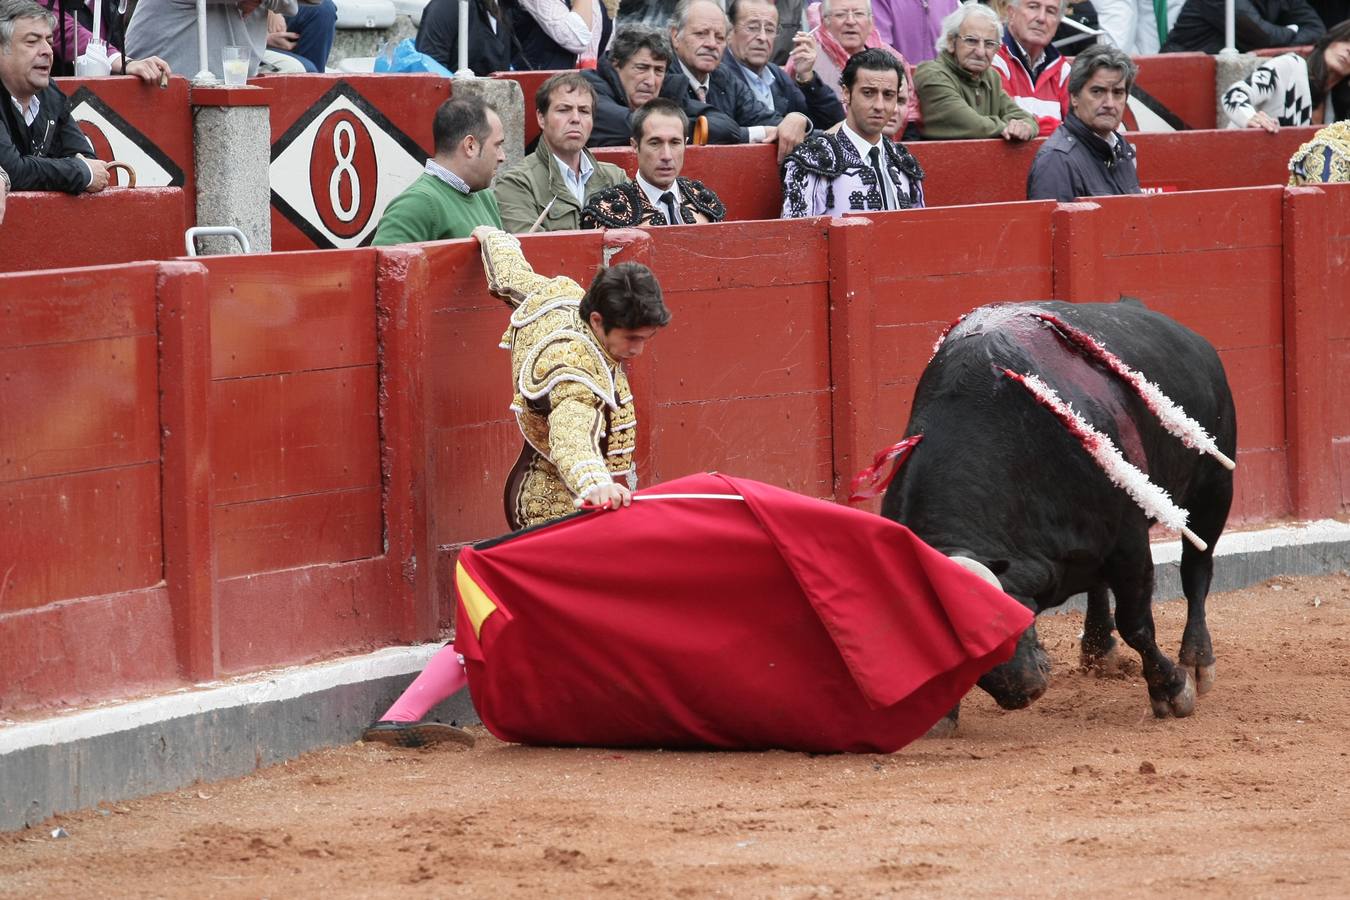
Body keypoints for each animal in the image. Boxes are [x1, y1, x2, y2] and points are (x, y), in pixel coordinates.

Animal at [880, 302, 1236, 723]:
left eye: (1000, 624)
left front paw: (1172, 689)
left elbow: (1136, 624)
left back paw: (1197, 660)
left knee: (1196, 571)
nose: (1021, 693)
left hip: (1213, 488)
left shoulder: (1129, 544)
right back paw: (1099, 649)